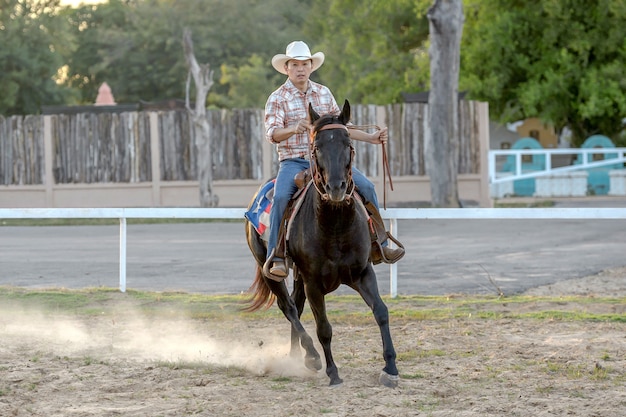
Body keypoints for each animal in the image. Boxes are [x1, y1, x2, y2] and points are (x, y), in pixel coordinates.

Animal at [243, 99, 394, 386]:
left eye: (348, 142)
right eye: (317, 147)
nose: (337, 187)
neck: (335, 229)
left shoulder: (362, 272)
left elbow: (381, 311)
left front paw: (390, 368)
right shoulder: (313, 282)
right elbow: (324, 327)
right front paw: (333, 373)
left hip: (299, 276)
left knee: (296, 304)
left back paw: (297, 356)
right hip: (269, 269)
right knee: (288, 307)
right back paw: (311, 356)